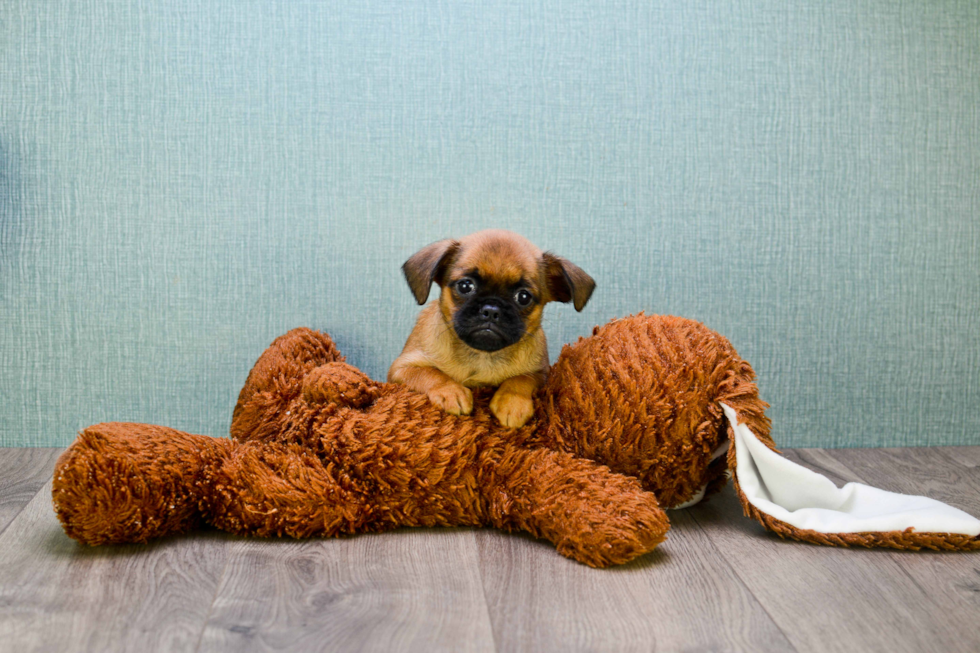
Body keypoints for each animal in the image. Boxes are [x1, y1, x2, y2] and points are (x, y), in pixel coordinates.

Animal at [386, 229, 592, 428]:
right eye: (465, 286)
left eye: (523, 297)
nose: (491, 310)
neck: (482, 357)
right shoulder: (401, 368)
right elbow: (431, 373)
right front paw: (451, 391)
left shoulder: (541, 373)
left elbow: (520, 379)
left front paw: (512, 402)